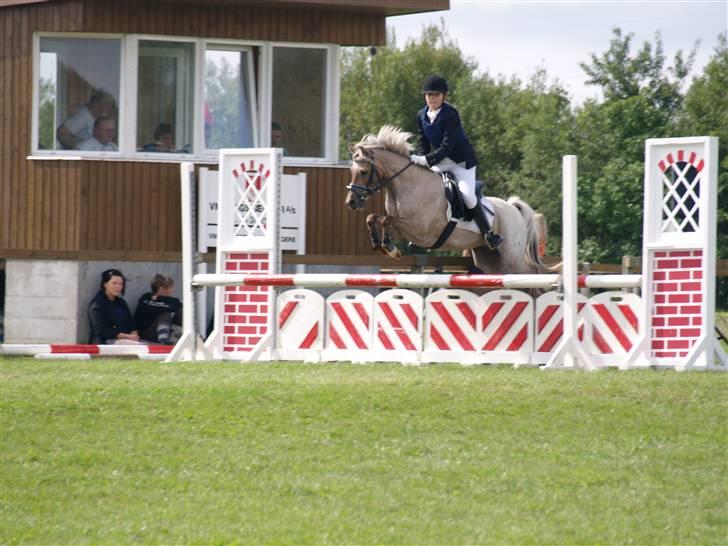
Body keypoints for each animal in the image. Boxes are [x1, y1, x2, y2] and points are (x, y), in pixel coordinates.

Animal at [346, 125, 544, 274]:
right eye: (351, 171)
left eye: (363, 172)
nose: (351, 202)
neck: (406, 186)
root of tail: (513, 208)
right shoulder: (404, 228)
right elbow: (374, 218)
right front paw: (382, 245)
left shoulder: (419, 230)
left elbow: (386, 220)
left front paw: (389, 248)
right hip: (490, 260)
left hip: (511, 259)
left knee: (531, 275)